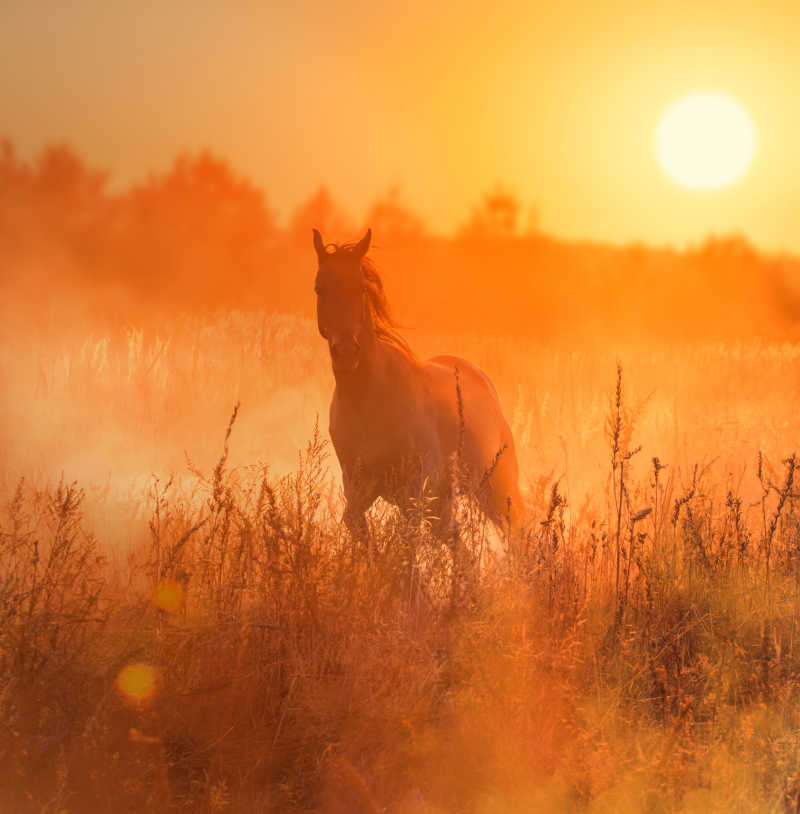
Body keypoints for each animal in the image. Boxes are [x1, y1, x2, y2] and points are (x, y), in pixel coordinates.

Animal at [312, 228, 524, 540]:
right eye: (320, 288)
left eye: (361, 288)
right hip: (444, 501)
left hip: (495, 489)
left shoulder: (413, 491)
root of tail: (481, 379)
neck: (368, 398)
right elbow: (357, 528)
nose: (347, 353)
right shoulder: (359, 487)